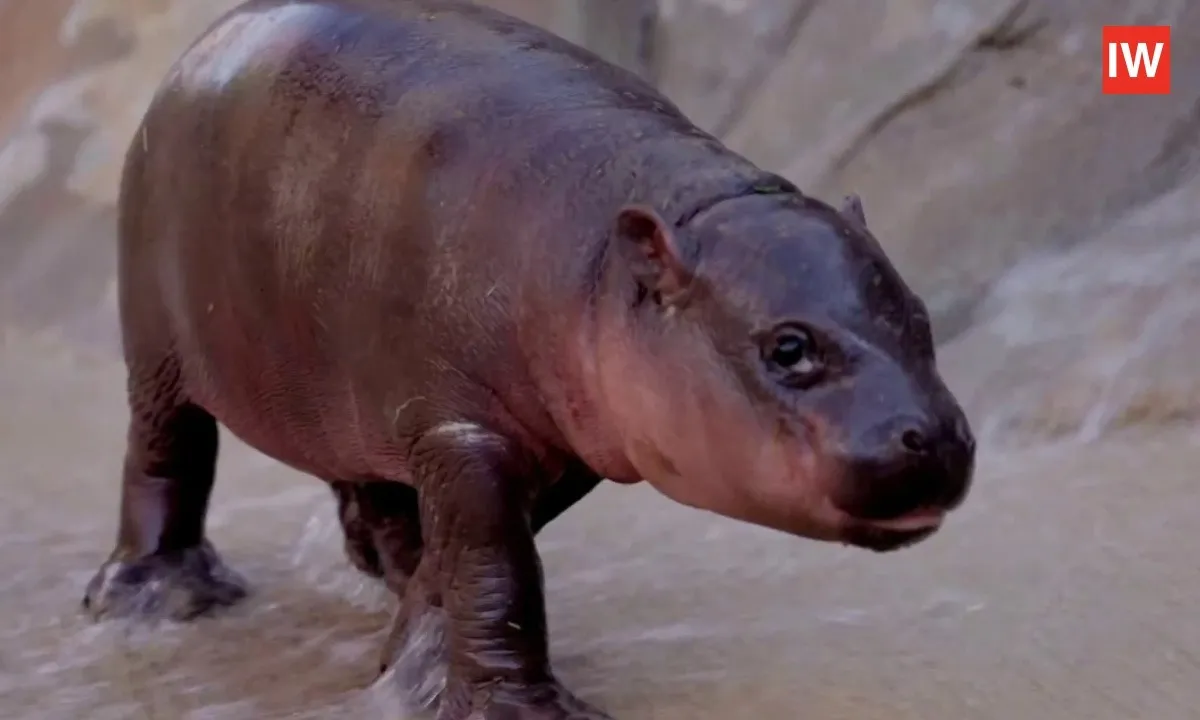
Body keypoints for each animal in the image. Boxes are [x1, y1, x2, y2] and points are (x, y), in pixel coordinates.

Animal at [81, 0, 977, 717]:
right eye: (788, 347)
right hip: (157, 346)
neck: (613, 256)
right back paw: (159, 599)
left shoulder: (554, 442)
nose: (933, 438)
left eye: (920, 317)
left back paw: (376, 568)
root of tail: (198, 47)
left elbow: (472, 563)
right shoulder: (464, 435)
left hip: (342, 393)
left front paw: (410, 659)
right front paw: (512, 708)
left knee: (367, 492)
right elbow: (494, 569)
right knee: (164, 455)